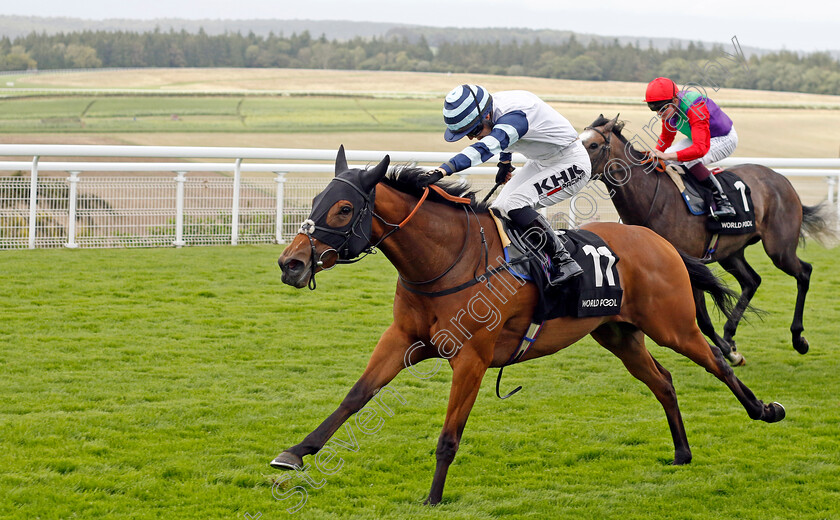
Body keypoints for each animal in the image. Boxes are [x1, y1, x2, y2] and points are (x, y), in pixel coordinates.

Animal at [272, 145, 784, 504]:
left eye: (343, 209)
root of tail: (659, 241)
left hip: (672, 325)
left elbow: (449, 435)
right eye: (315, 200)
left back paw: (764, 409)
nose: (291, 263)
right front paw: (295, 453)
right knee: (663, 380)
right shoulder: (402, 339)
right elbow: (356, 395)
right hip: (618, 334)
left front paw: (433, 497)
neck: (446, 260)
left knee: (717, 361)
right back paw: (681, 452)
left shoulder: (472, 358)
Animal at [580, 115, 836, 364]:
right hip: (731, 252)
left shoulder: (688, 266)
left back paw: (798, 338)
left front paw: (728, 353)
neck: (653, 198)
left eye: (593, 145)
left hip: (779, 248)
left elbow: (702, 319)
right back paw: (731, 333)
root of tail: (781, 179)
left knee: (804, 272)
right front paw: (730, 350)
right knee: (752, 281)